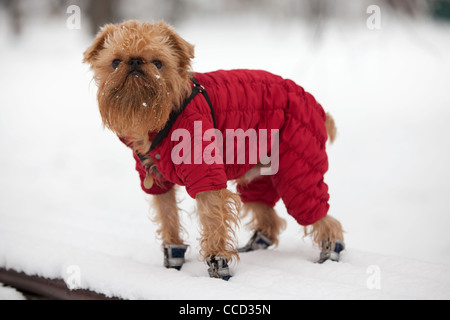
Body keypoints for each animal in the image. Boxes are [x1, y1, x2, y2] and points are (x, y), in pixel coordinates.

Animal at [83, 20, 344, 280]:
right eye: (116, 62)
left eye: (158, 63)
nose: (136, 62)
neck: (161, 120)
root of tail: (318, 107)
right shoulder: (157, 182)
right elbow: (168, 216)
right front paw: (173, 257)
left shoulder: (205, 175)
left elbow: (212, 219)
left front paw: (218, 263)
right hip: (258, 175)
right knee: (269, 216)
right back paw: (257, 243)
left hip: (298, 171)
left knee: (319, 215)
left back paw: (331, 250)